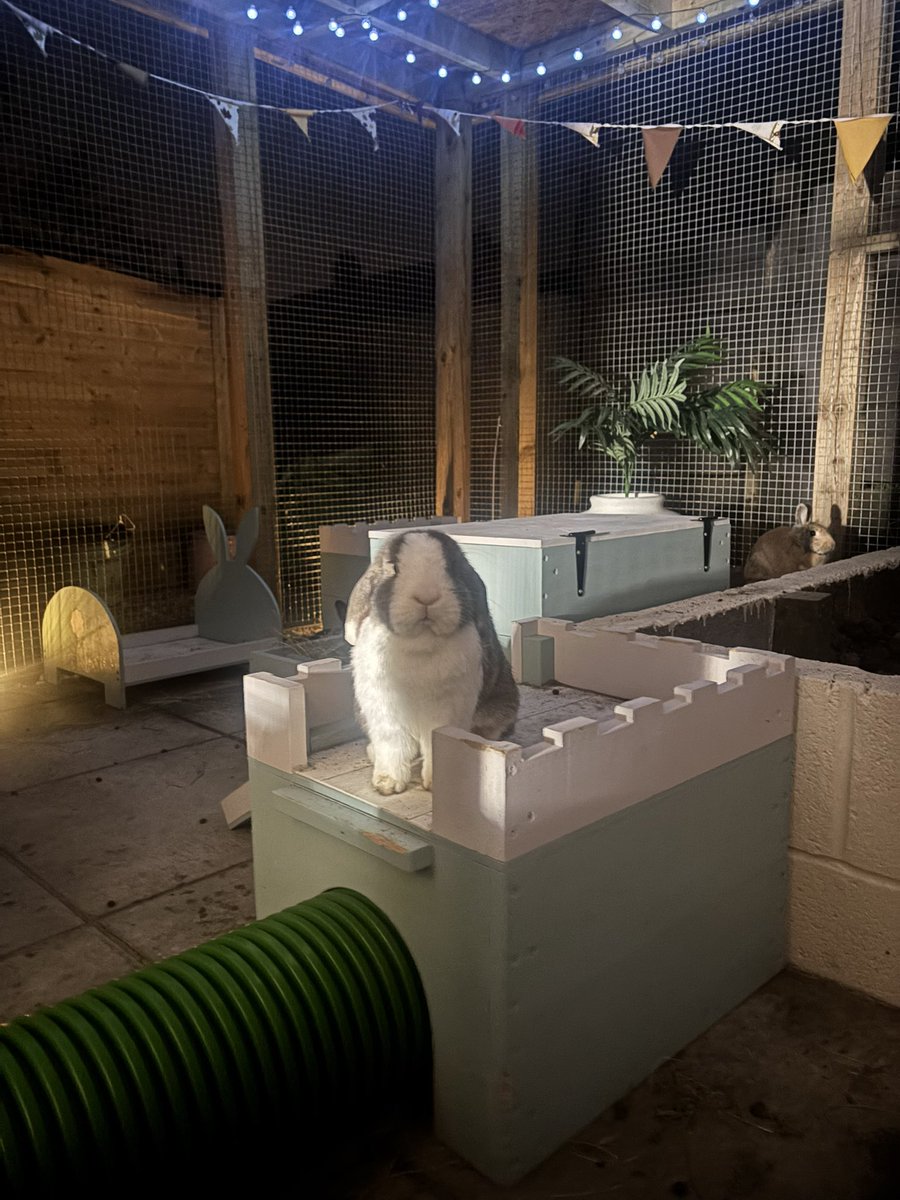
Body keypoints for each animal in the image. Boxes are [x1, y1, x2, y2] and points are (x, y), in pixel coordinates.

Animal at [344, 528, 519, 796]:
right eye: (393, 568)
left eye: (452, 567)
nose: (426, 596)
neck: (421, 640)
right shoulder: (385, 711)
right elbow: (392, 746)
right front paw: (387, 784)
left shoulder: (446, 712)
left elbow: (435, 745)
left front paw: (435, 783)